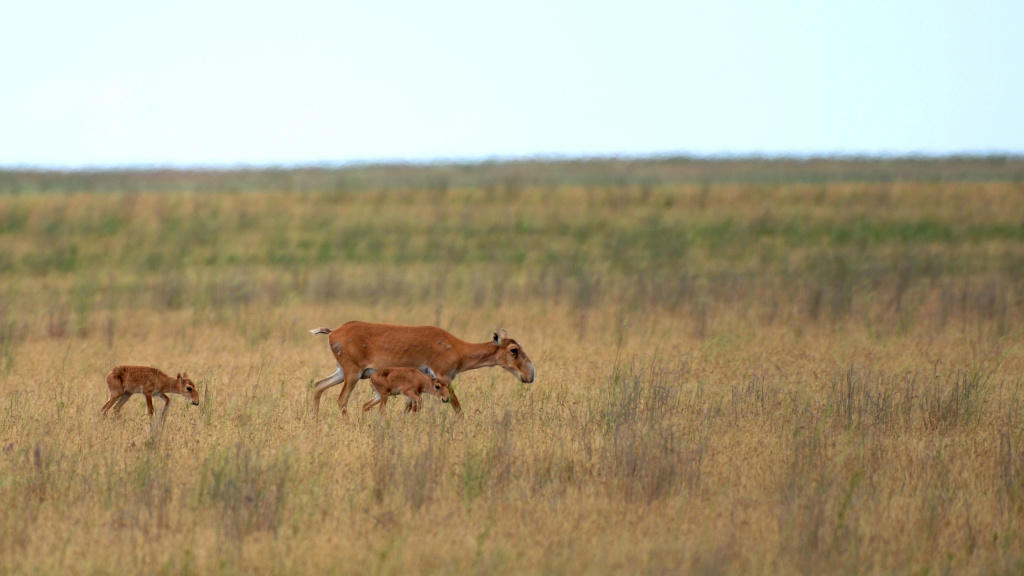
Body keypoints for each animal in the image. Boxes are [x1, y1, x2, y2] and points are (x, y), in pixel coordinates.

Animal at [307, 323, 536, 412]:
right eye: (514, 350)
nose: (530, 375)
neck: (456, 347)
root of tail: (333, 332)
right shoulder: (444, 377)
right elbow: (457, 407)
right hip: (353, 374)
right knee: (341, 399)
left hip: (342, 373)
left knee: (318, 386)